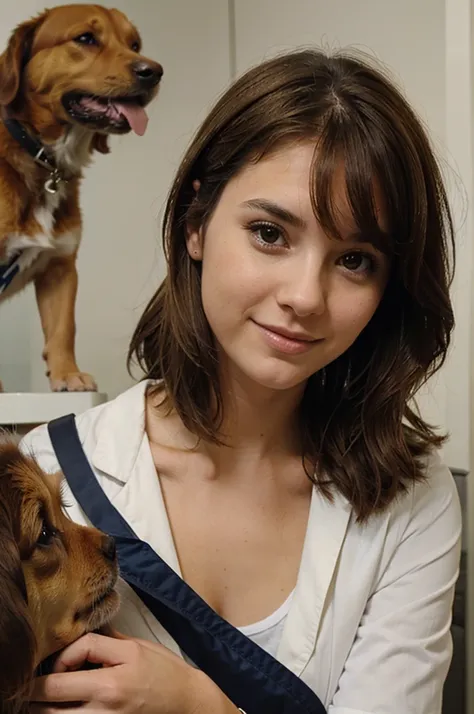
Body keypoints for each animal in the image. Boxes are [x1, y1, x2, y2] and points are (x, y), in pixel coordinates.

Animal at [0, 5, 163, 392]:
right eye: (86, 39)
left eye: (134, 44)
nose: (154, 72)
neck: (43, 158)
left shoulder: (61, 267)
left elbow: (63, 329)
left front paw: (67, 374)